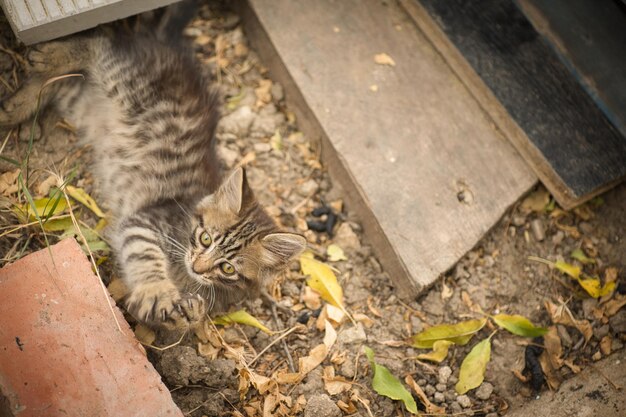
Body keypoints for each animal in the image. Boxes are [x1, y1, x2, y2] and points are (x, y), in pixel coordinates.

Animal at [0, 27, 306, 328]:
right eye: (205, 239)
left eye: (227, 268)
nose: (197, 267)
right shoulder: (145, 221)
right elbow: (145, 255)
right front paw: (157, 291)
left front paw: (189, 312)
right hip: (129, 84)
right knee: (102, 45)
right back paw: (49, 57)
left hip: (81, 103)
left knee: (61, 83)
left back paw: (15, 105)